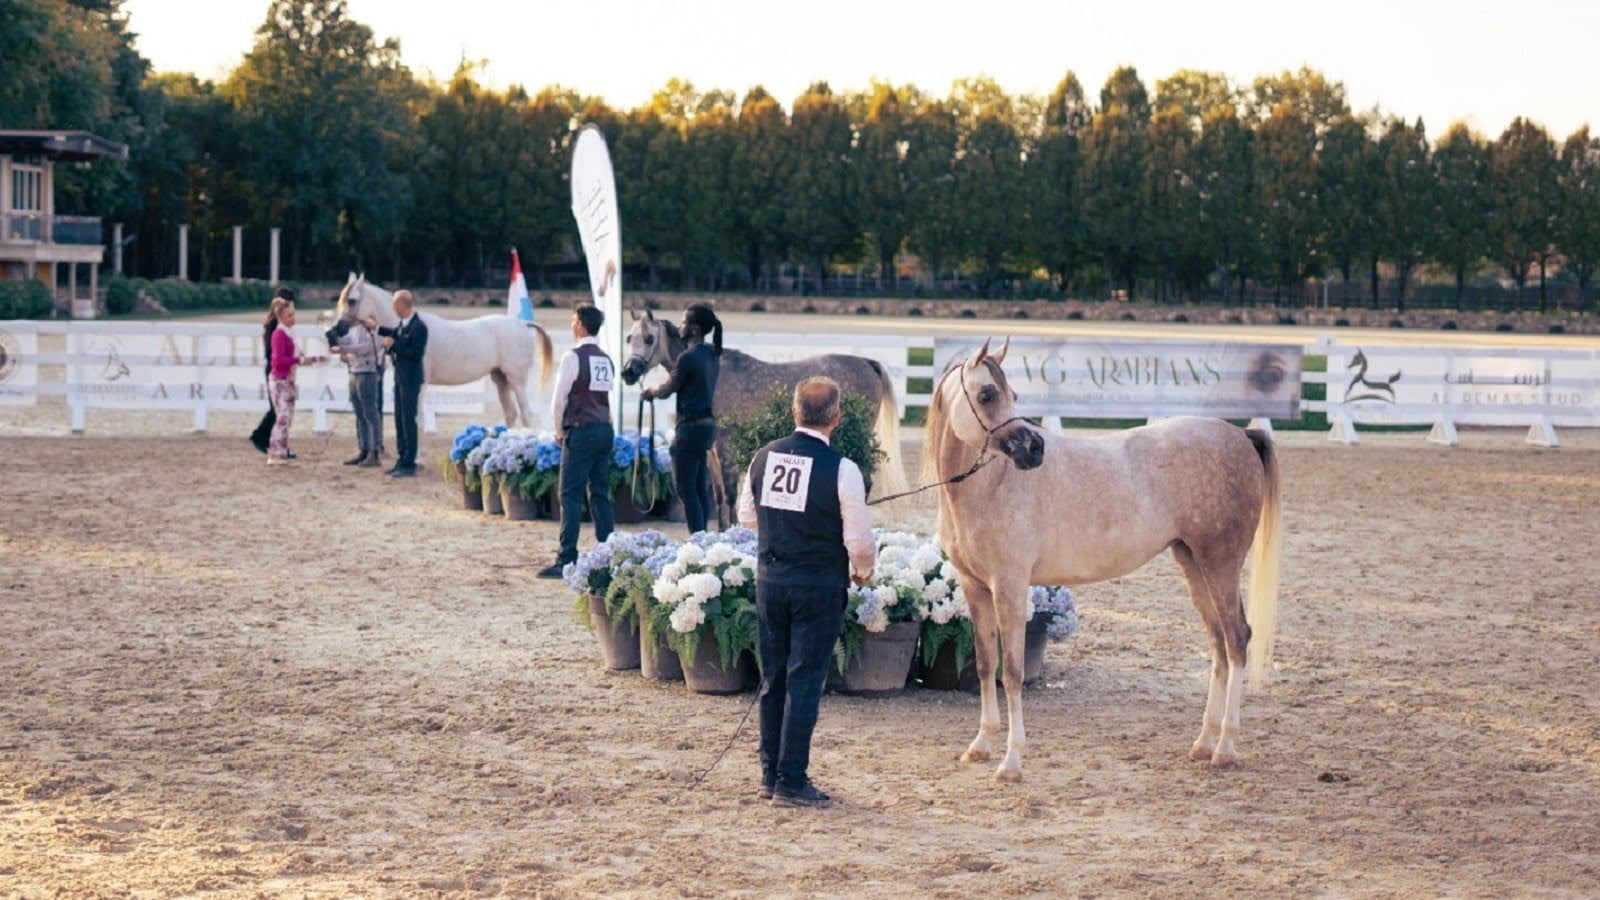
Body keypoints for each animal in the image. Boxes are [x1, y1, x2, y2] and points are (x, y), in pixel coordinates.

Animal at [335, 274, 554, 428]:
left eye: (352, 300)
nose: (337, 329)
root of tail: (522, 324)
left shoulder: (420, 385)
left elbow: (417, 419)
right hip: (501, 379)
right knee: (511, 413)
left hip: (517, 379)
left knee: (526, 413)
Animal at [618, 308, 910, 520]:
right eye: (629, 337)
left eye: (649, 338)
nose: (628, 372)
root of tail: (867, 363)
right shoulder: (711, 450)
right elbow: (719, 497)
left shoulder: (725, 445)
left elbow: (730, 495)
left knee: (864, 482)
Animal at [926, 337, 1283, 782]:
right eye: (987, 395)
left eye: (1012, 395)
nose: (1034, 449)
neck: (991, 486)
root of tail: (1241, 435)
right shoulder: (975, 587)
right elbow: (985, 663)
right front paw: (981, 744)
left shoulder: (1009, 586)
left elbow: (1012, 672)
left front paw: (1011, 761)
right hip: (1194, 563)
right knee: (1219, 645)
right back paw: (1203, 744)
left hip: (1221, 562)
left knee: (1237, 640)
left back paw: (1226, 748)